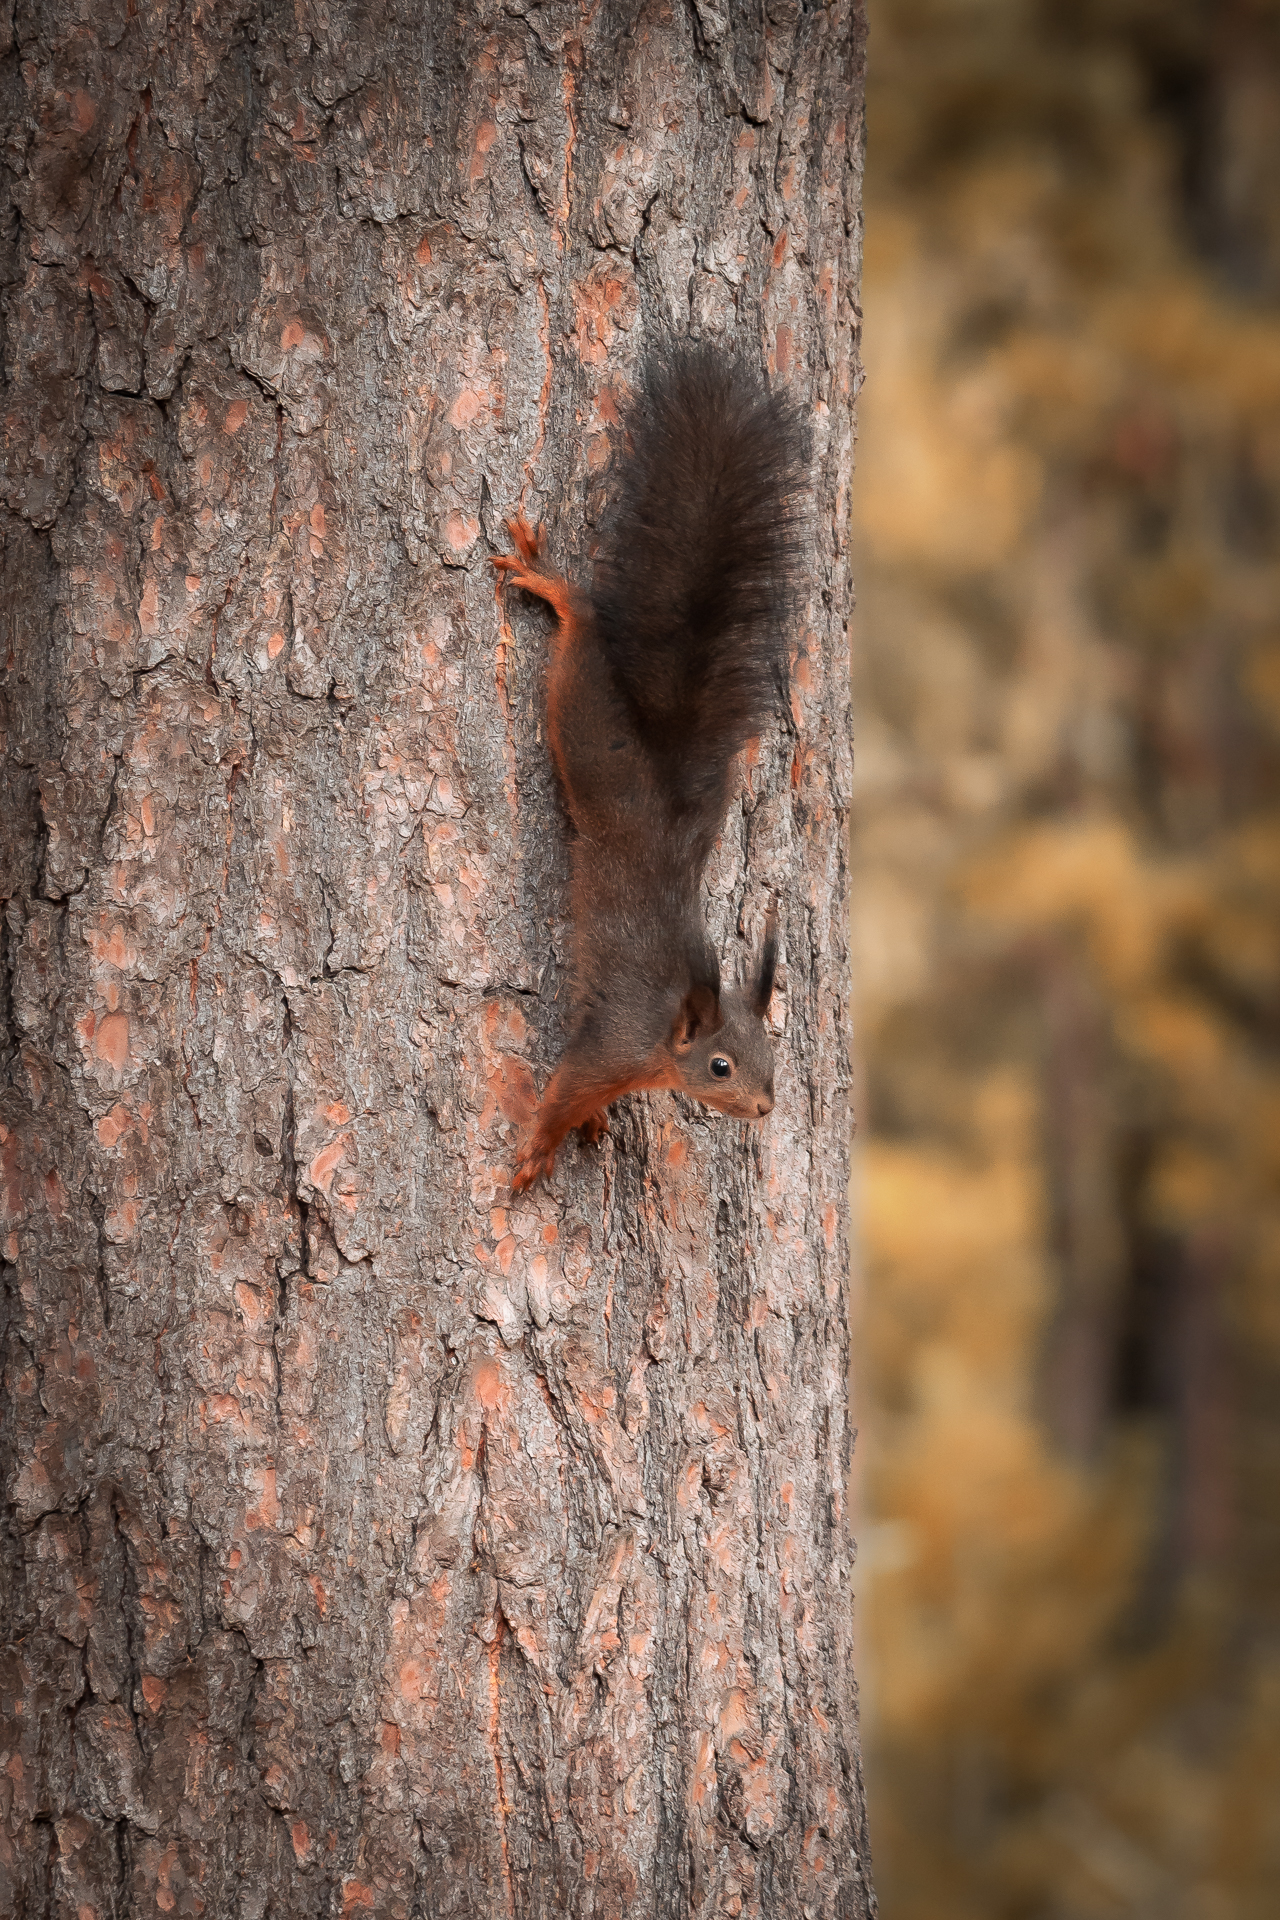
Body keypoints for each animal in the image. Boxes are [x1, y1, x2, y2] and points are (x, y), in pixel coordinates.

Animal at [492, 344, 807, 1191]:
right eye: (722, 1067)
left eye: (771, 1058)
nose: (764, 1108)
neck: (667, 1039)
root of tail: (664, 783)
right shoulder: (610, 1044)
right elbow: (563, 1090)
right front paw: (538, 1149)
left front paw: (588, 1126)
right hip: (589, 736)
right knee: (582, 631)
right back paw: (555, 587)